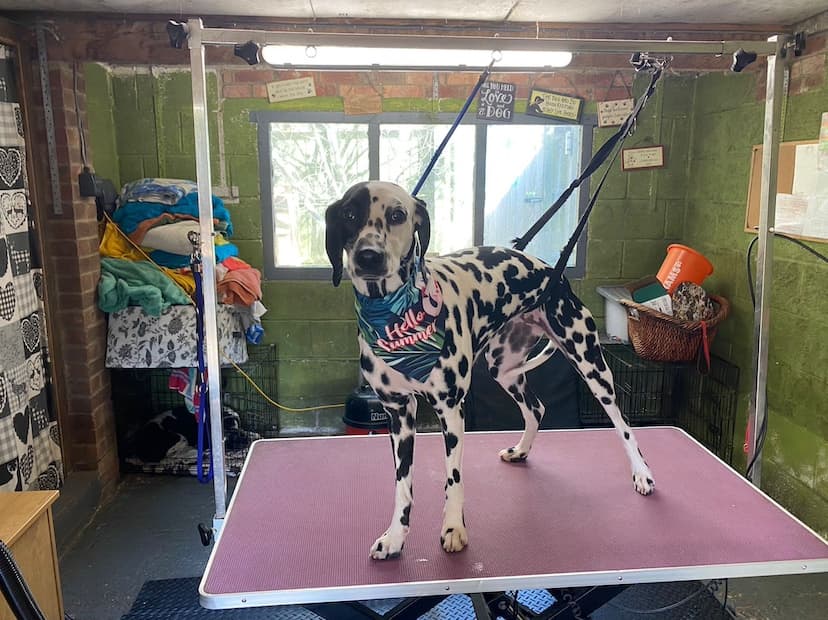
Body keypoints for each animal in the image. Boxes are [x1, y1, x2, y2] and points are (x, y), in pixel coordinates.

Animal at [324, 182, 652, 560]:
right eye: (350, 214)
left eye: (397, 215)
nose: (369, 257)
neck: (395, 317)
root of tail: (553, 274)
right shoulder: (399, 414)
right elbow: (402, 484)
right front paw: (395, 536)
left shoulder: (451, 409)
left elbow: (453, 479)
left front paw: (454, 528)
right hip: (504, 368)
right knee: (537, 408)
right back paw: (522, 450)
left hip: (591, 365)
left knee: (622, 425)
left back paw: (642, 474)